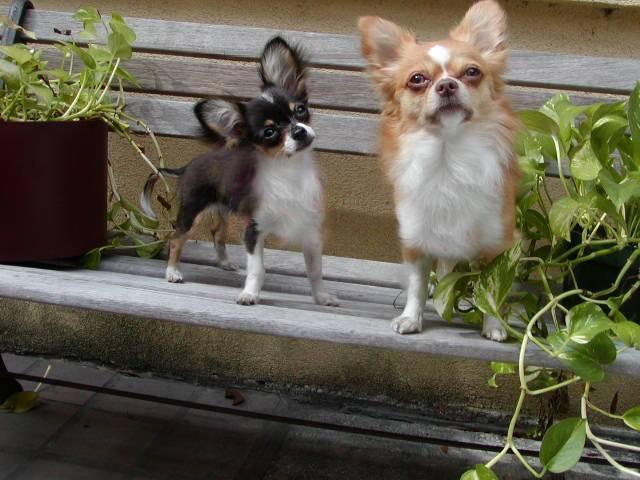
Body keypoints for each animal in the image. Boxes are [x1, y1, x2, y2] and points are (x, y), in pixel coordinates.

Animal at [140, 37, 339, 308]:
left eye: (299, 110)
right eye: (269, 132)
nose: (299, 132)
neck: (289, 172)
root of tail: (189, 165)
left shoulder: (310, 231)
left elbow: (315, 270)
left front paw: (321, 297)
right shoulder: (254, 230)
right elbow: (257, 269)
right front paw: (250, 295)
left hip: (225, 210)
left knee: (216, 233)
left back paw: (224, 263)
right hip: (192, 212)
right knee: (177, 237)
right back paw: (172, 272)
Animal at [358, 0, 520, 340]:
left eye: (472, 72)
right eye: (417, 79)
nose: (447, 85)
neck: (449, 157)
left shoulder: (498, 245)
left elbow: (492, 290)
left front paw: (494, 326)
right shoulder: (416, 240)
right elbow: (416, 285)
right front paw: (411, 317)